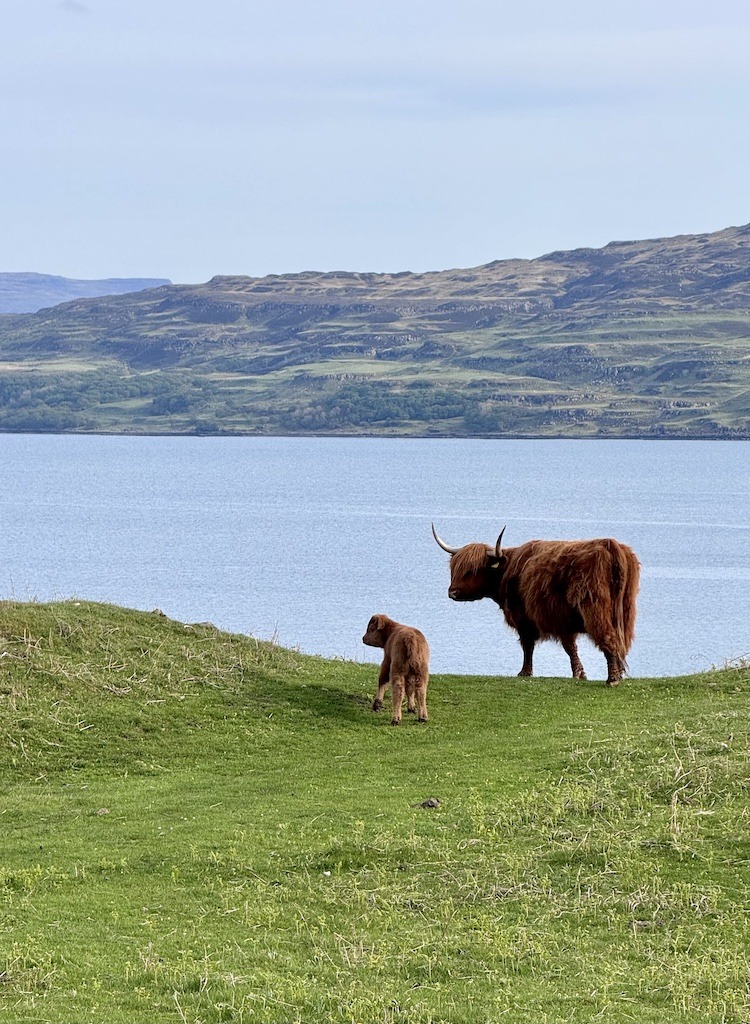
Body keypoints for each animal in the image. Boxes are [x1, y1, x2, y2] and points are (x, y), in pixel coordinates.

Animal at [432, 524, 639, 686]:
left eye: (472, 571)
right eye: (455, 569)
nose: (452, 592)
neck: (508, 569)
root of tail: (609, 545)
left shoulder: (525, 618)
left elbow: (529, 646)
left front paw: (524, 672)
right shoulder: (562, 621)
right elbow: (570, 648)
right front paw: (579, 674)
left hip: (595, 609)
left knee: (609, 638)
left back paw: (612, 679)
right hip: (625, 611)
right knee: (621, 642)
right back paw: (618, 674)